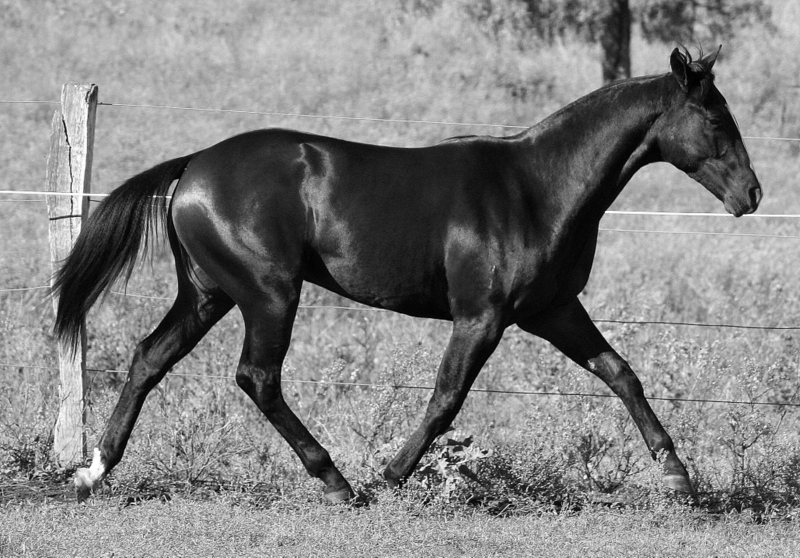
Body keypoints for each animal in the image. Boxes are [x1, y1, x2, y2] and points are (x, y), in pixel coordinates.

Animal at [53, 47, 761, 503]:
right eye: (715, 119)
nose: (751, 195)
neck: (536, 189)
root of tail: (194, 164)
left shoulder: (554, 311)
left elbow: (621, 373)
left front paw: (678, 477)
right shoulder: (482, 317)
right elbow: (446, 398)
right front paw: (393, 473)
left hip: (207, 294)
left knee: (149, 357)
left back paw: (92, 473)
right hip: (268, 294)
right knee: (257, 377)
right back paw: (338, 482)